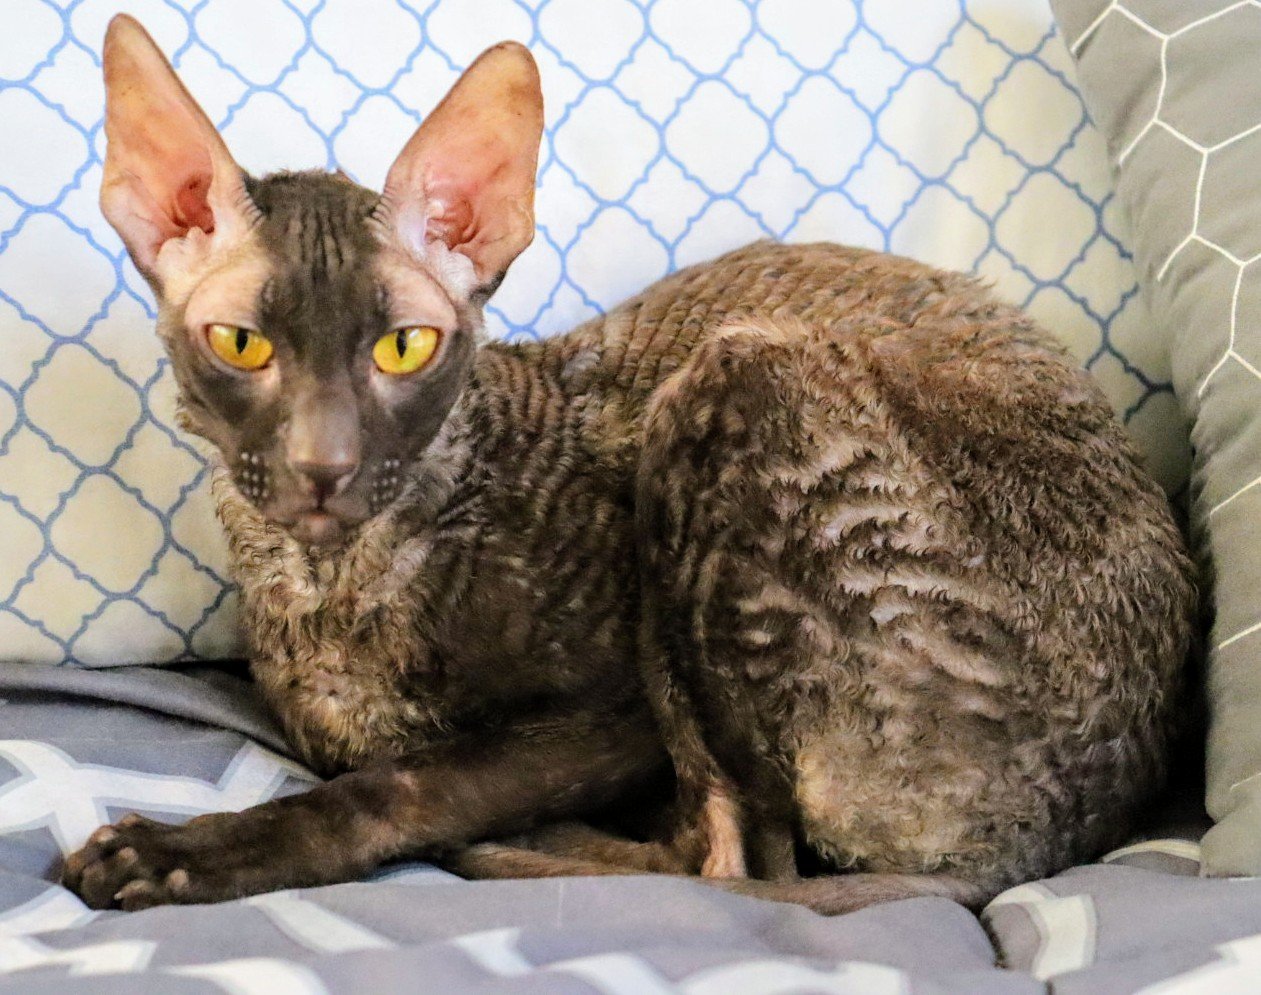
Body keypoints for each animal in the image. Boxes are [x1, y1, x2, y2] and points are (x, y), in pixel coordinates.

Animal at [62, 14, 1196, 915]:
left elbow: (407, 780)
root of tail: (1058, 840)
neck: (332, 584)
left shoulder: (620, 719)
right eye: (241, 344)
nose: (323, 466)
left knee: (732, 864)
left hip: (731, 372)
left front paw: (195, 852)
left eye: (405, 348)